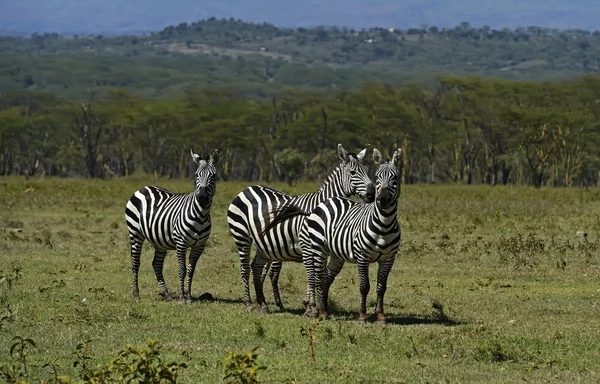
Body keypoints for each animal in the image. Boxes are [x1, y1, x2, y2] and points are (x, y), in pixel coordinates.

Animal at [125, 148, 219, 302]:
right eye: (196, 175)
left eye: (214, 176)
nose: (202, 197)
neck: (201, 215)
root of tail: (143, 188)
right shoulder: (181, 242)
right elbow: (182, 269)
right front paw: (182, 298)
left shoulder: (200, 245)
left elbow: (191, 270)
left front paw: (189, 296)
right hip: (135, 233)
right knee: (135, 263)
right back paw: (136, 295)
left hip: (159, 239)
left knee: (156, 264)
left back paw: (167, 294)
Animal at [226, 142, 376, 314]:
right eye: (352, 172)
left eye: (367, 170)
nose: (372, 194)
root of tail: (247, 188)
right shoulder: (308, 245)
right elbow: (313, 275)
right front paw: (311, 306)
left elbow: (321, 275)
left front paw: (316, 303)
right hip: (241, 235)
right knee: (245, 268)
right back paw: (249, 303)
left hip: (264, 243)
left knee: (257, 268)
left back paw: (264, 304)